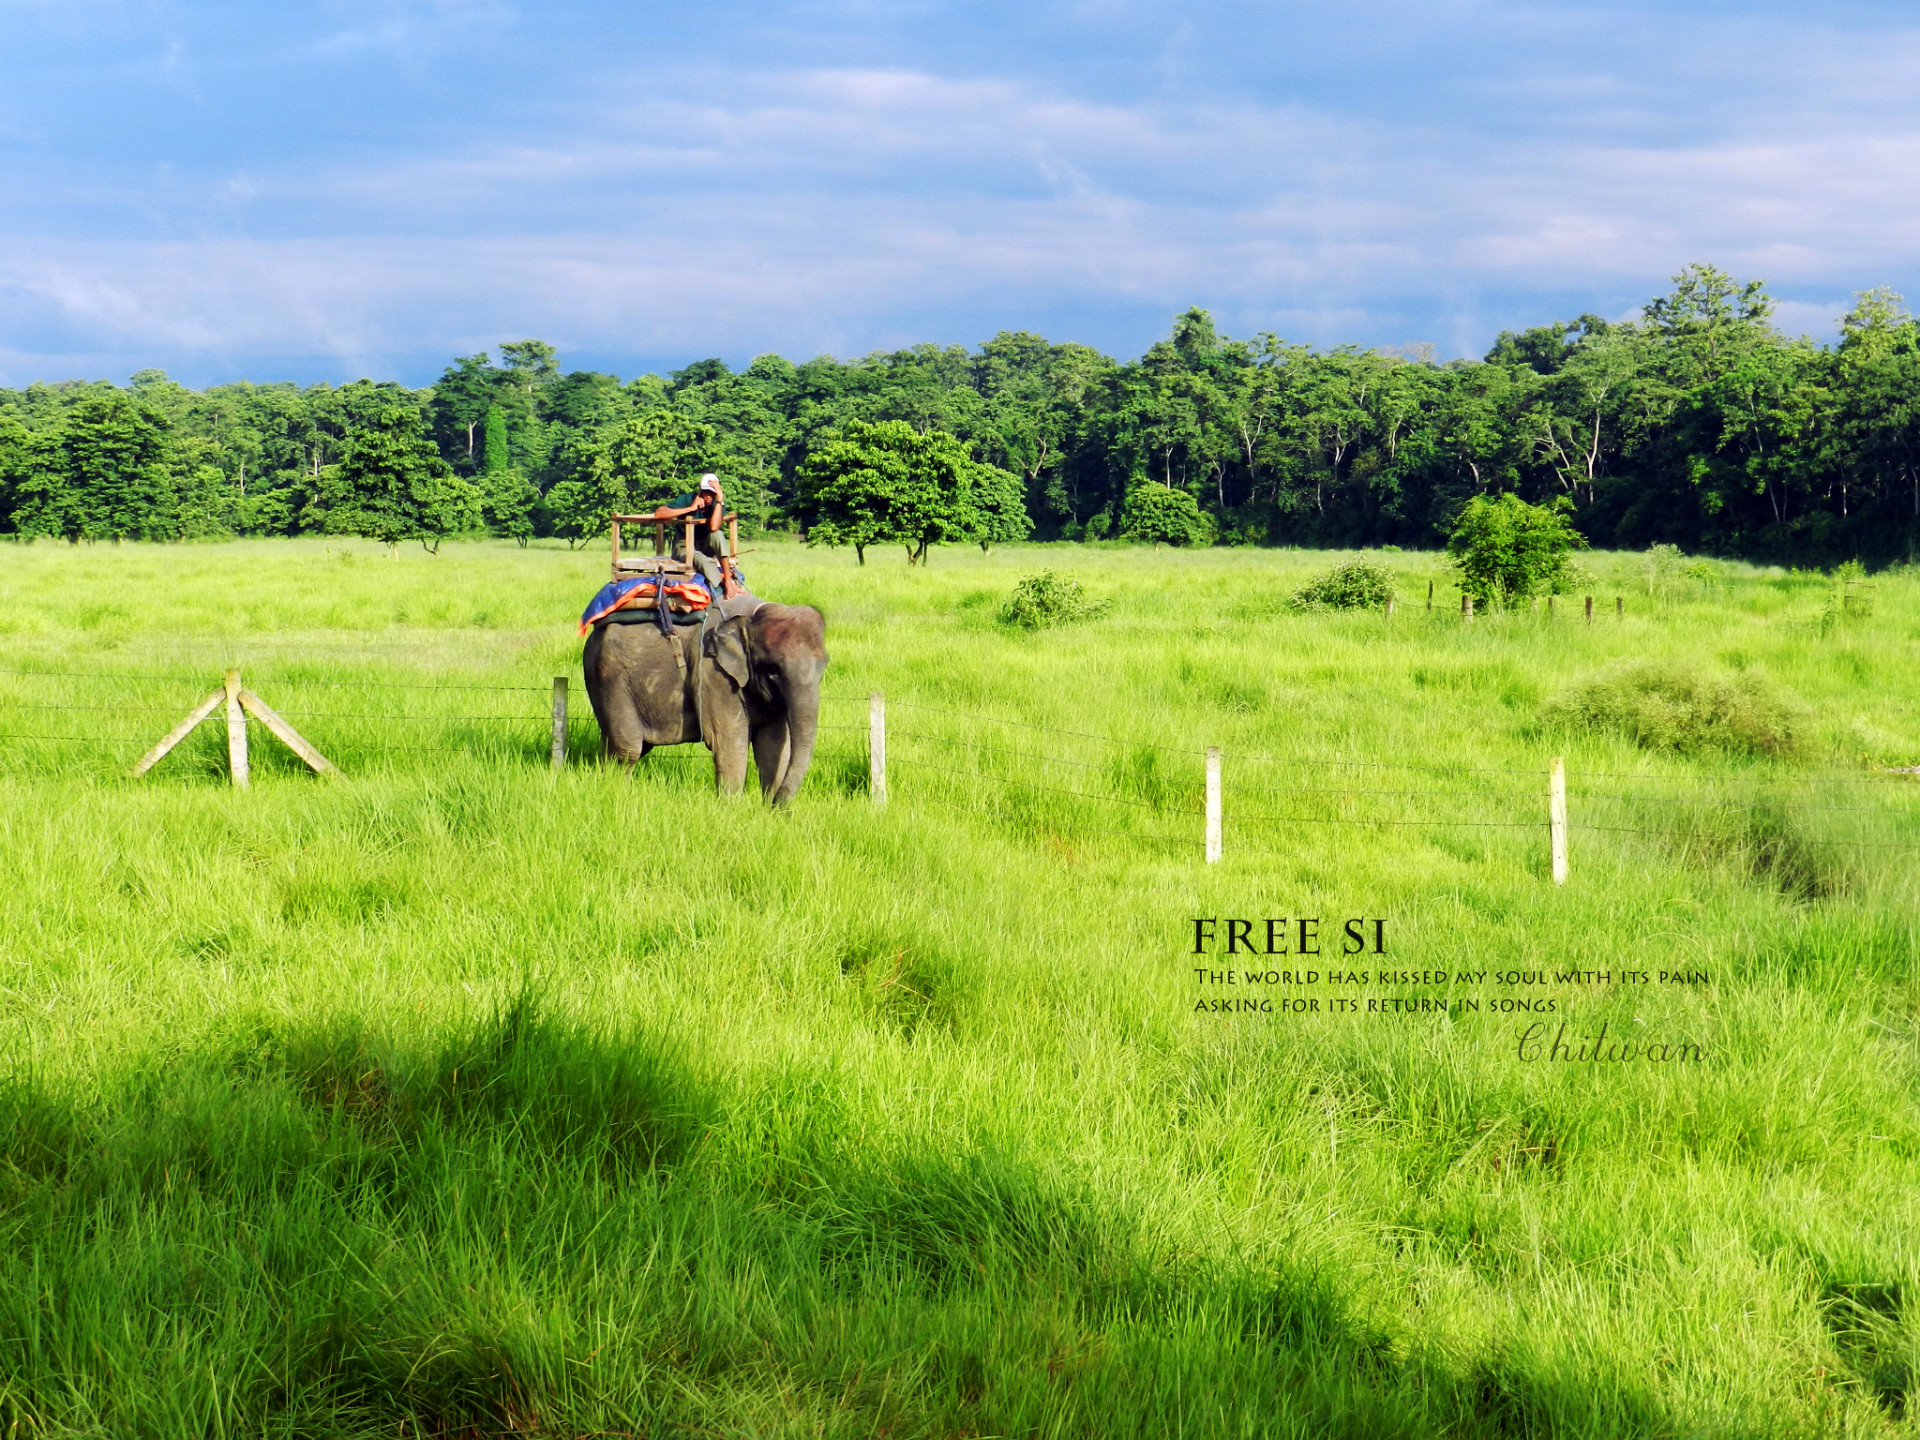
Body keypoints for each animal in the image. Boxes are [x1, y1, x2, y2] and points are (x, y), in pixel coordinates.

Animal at [579, 591, 829, 806]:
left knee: (620, 744)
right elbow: (728, 741)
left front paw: (771, 814)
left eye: (823, 667)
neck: (750, 618)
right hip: (609, 677)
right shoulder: (713, 674)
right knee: (629, 749)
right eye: (773, 671)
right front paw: (732, 810)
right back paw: (616, 791)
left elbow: (772, 745)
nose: (778, 805)